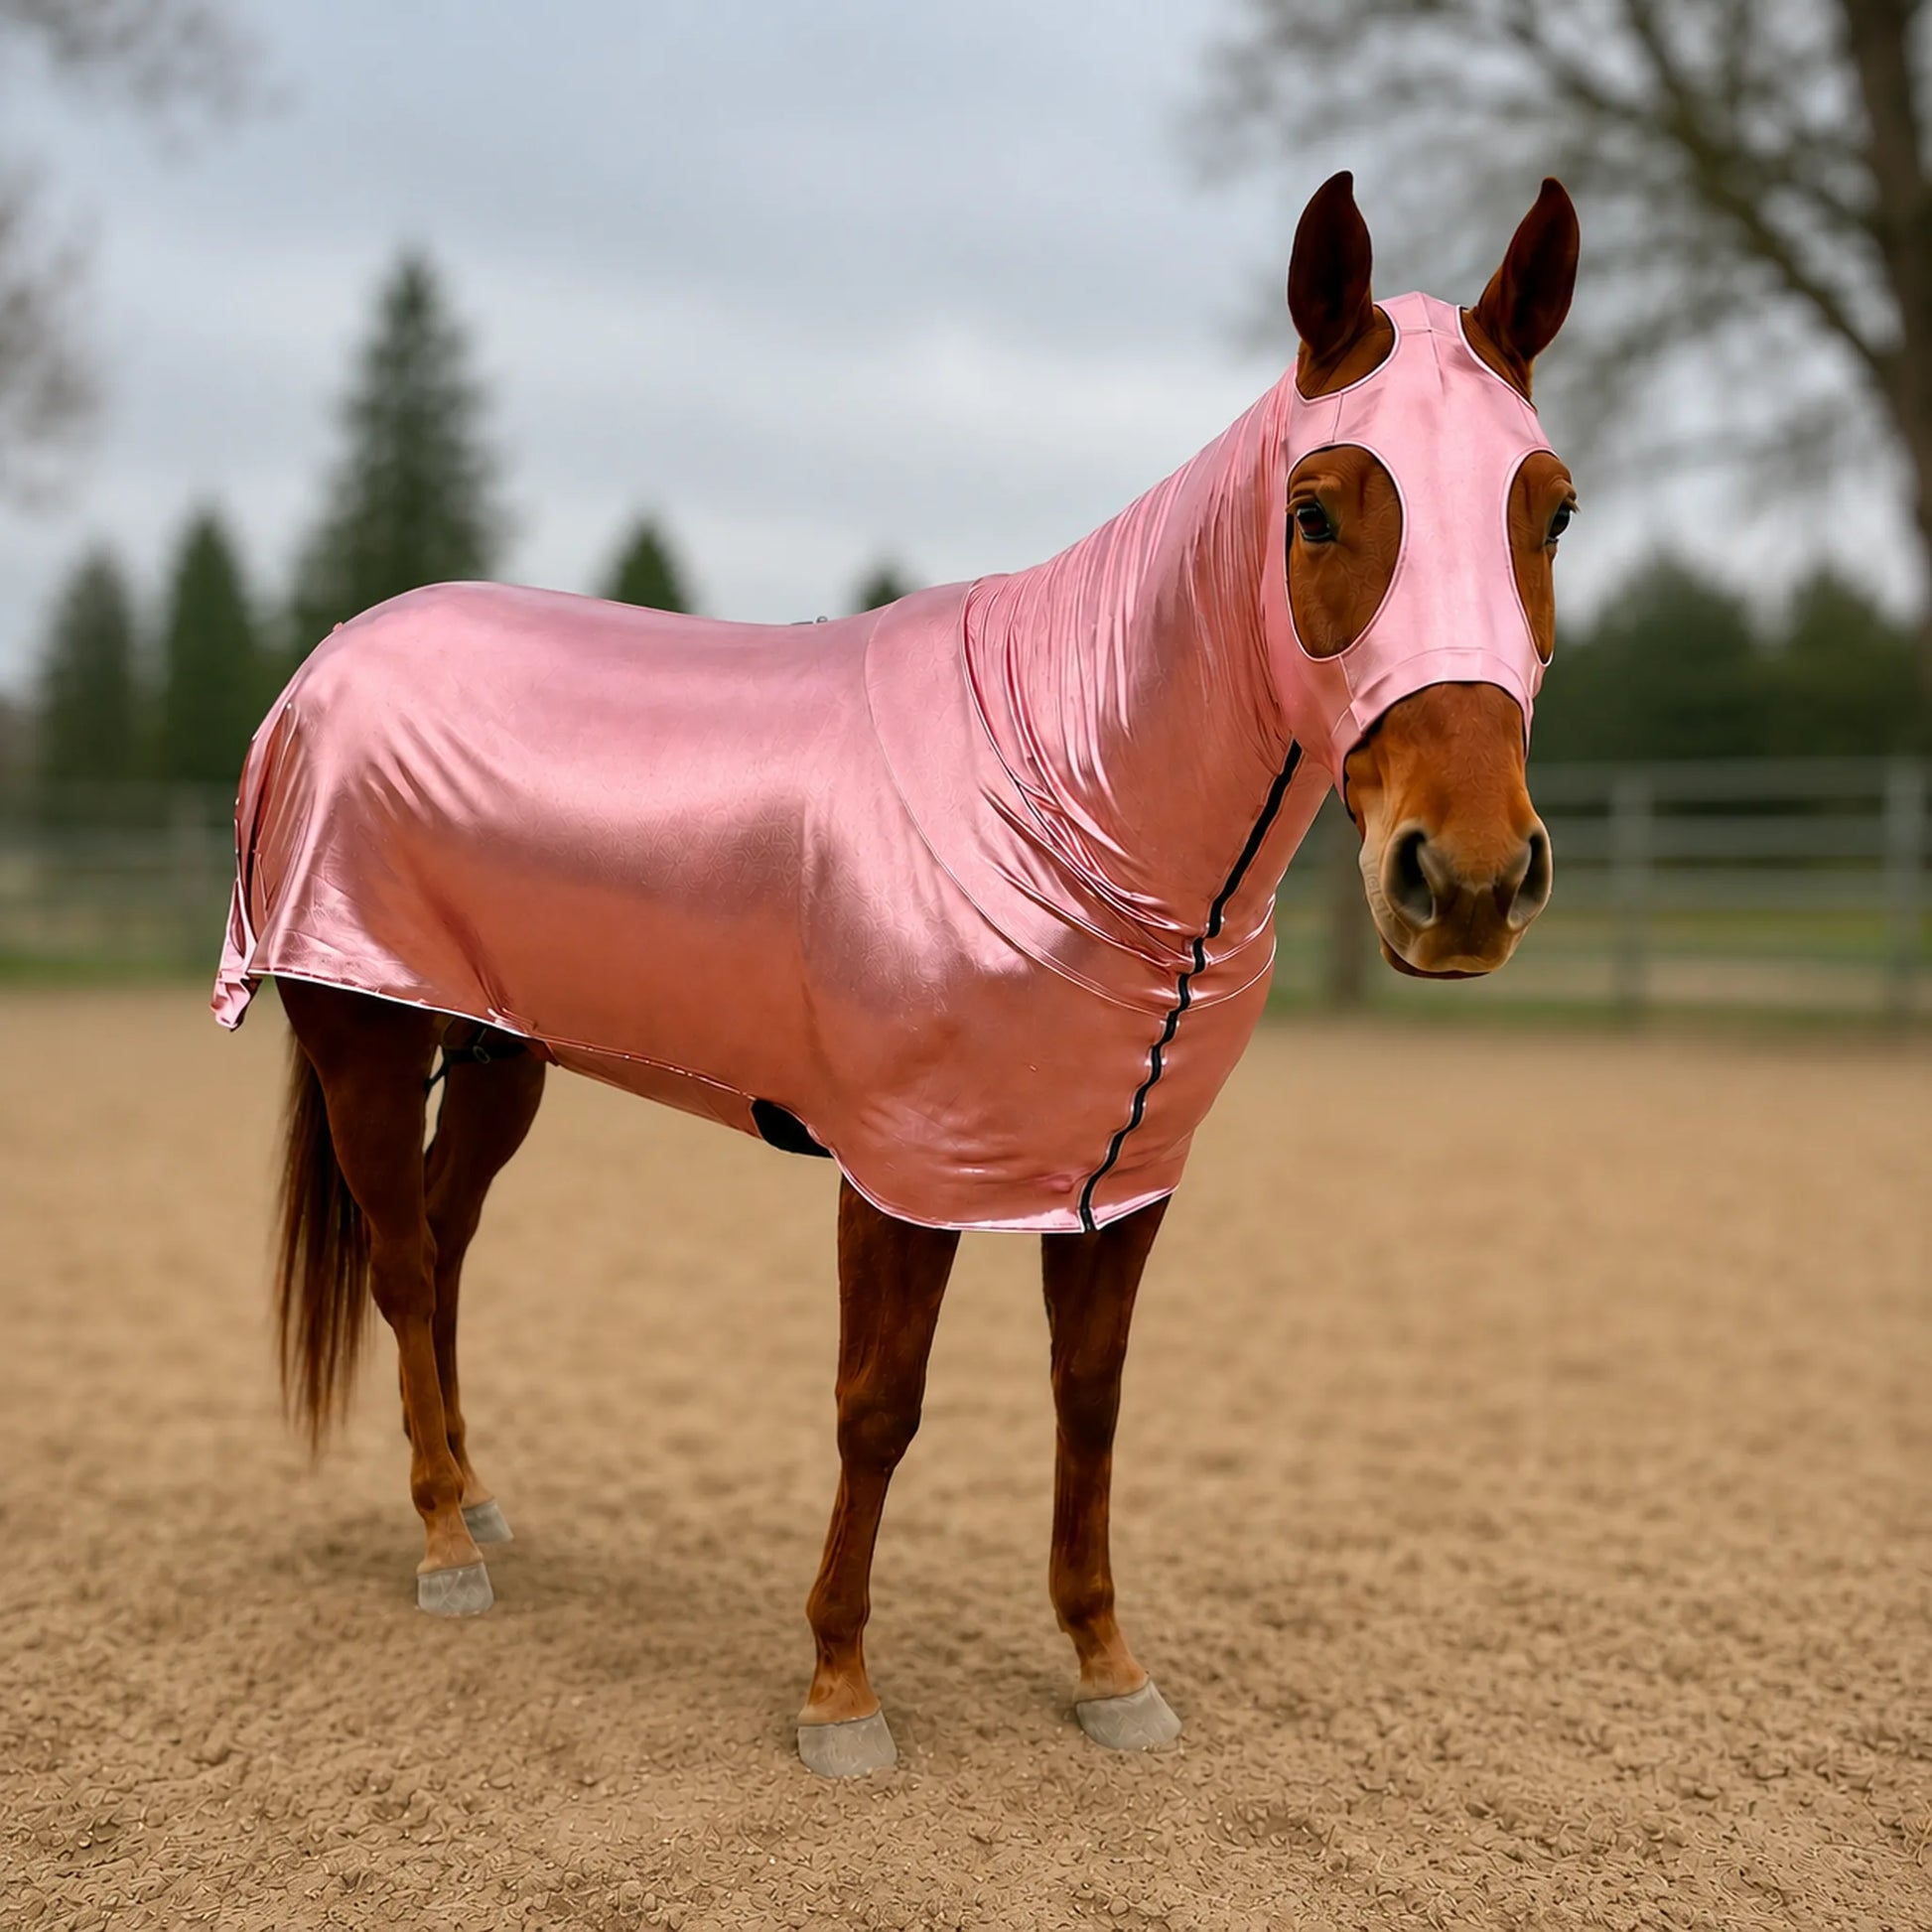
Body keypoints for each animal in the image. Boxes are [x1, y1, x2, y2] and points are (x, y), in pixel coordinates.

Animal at [215, 171, 1579, 1777]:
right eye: (1313, 511)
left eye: (1551, 510)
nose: (1468, 881)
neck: (1072, 786)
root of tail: (327, 665)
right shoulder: (897, 1172)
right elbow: (879, 1405)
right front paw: (839, 1692)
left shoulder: (1120, 1179)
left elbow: (1089, 1401)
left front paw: (1107, 1669)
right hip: (364, 1032)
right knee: (405, 1263)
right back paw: (442, 1544)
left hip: (497, 1052)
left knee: (443, 1239)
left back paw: (479, 1499)